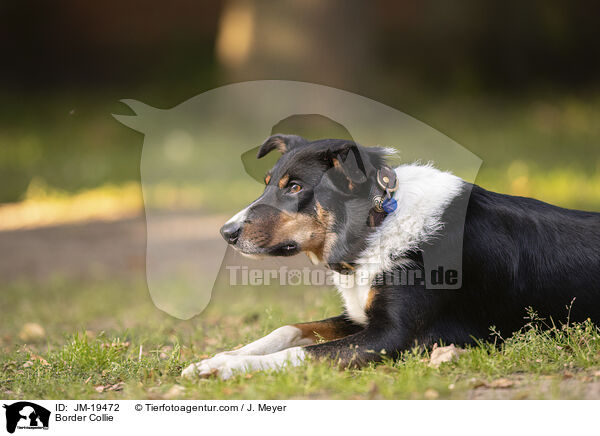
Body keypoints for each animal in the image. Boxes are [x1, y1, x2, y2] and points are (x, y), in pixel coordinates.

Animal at [182, 135, 600, 380]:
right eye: (268, 184)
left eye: (296, 188)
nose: (226, 233)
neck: (377, 223)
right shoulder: (361, 316)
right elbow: (288, 330)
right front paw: (219, 356)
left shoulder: (394, 336)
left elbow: (302, 353)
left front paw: (228, 366)